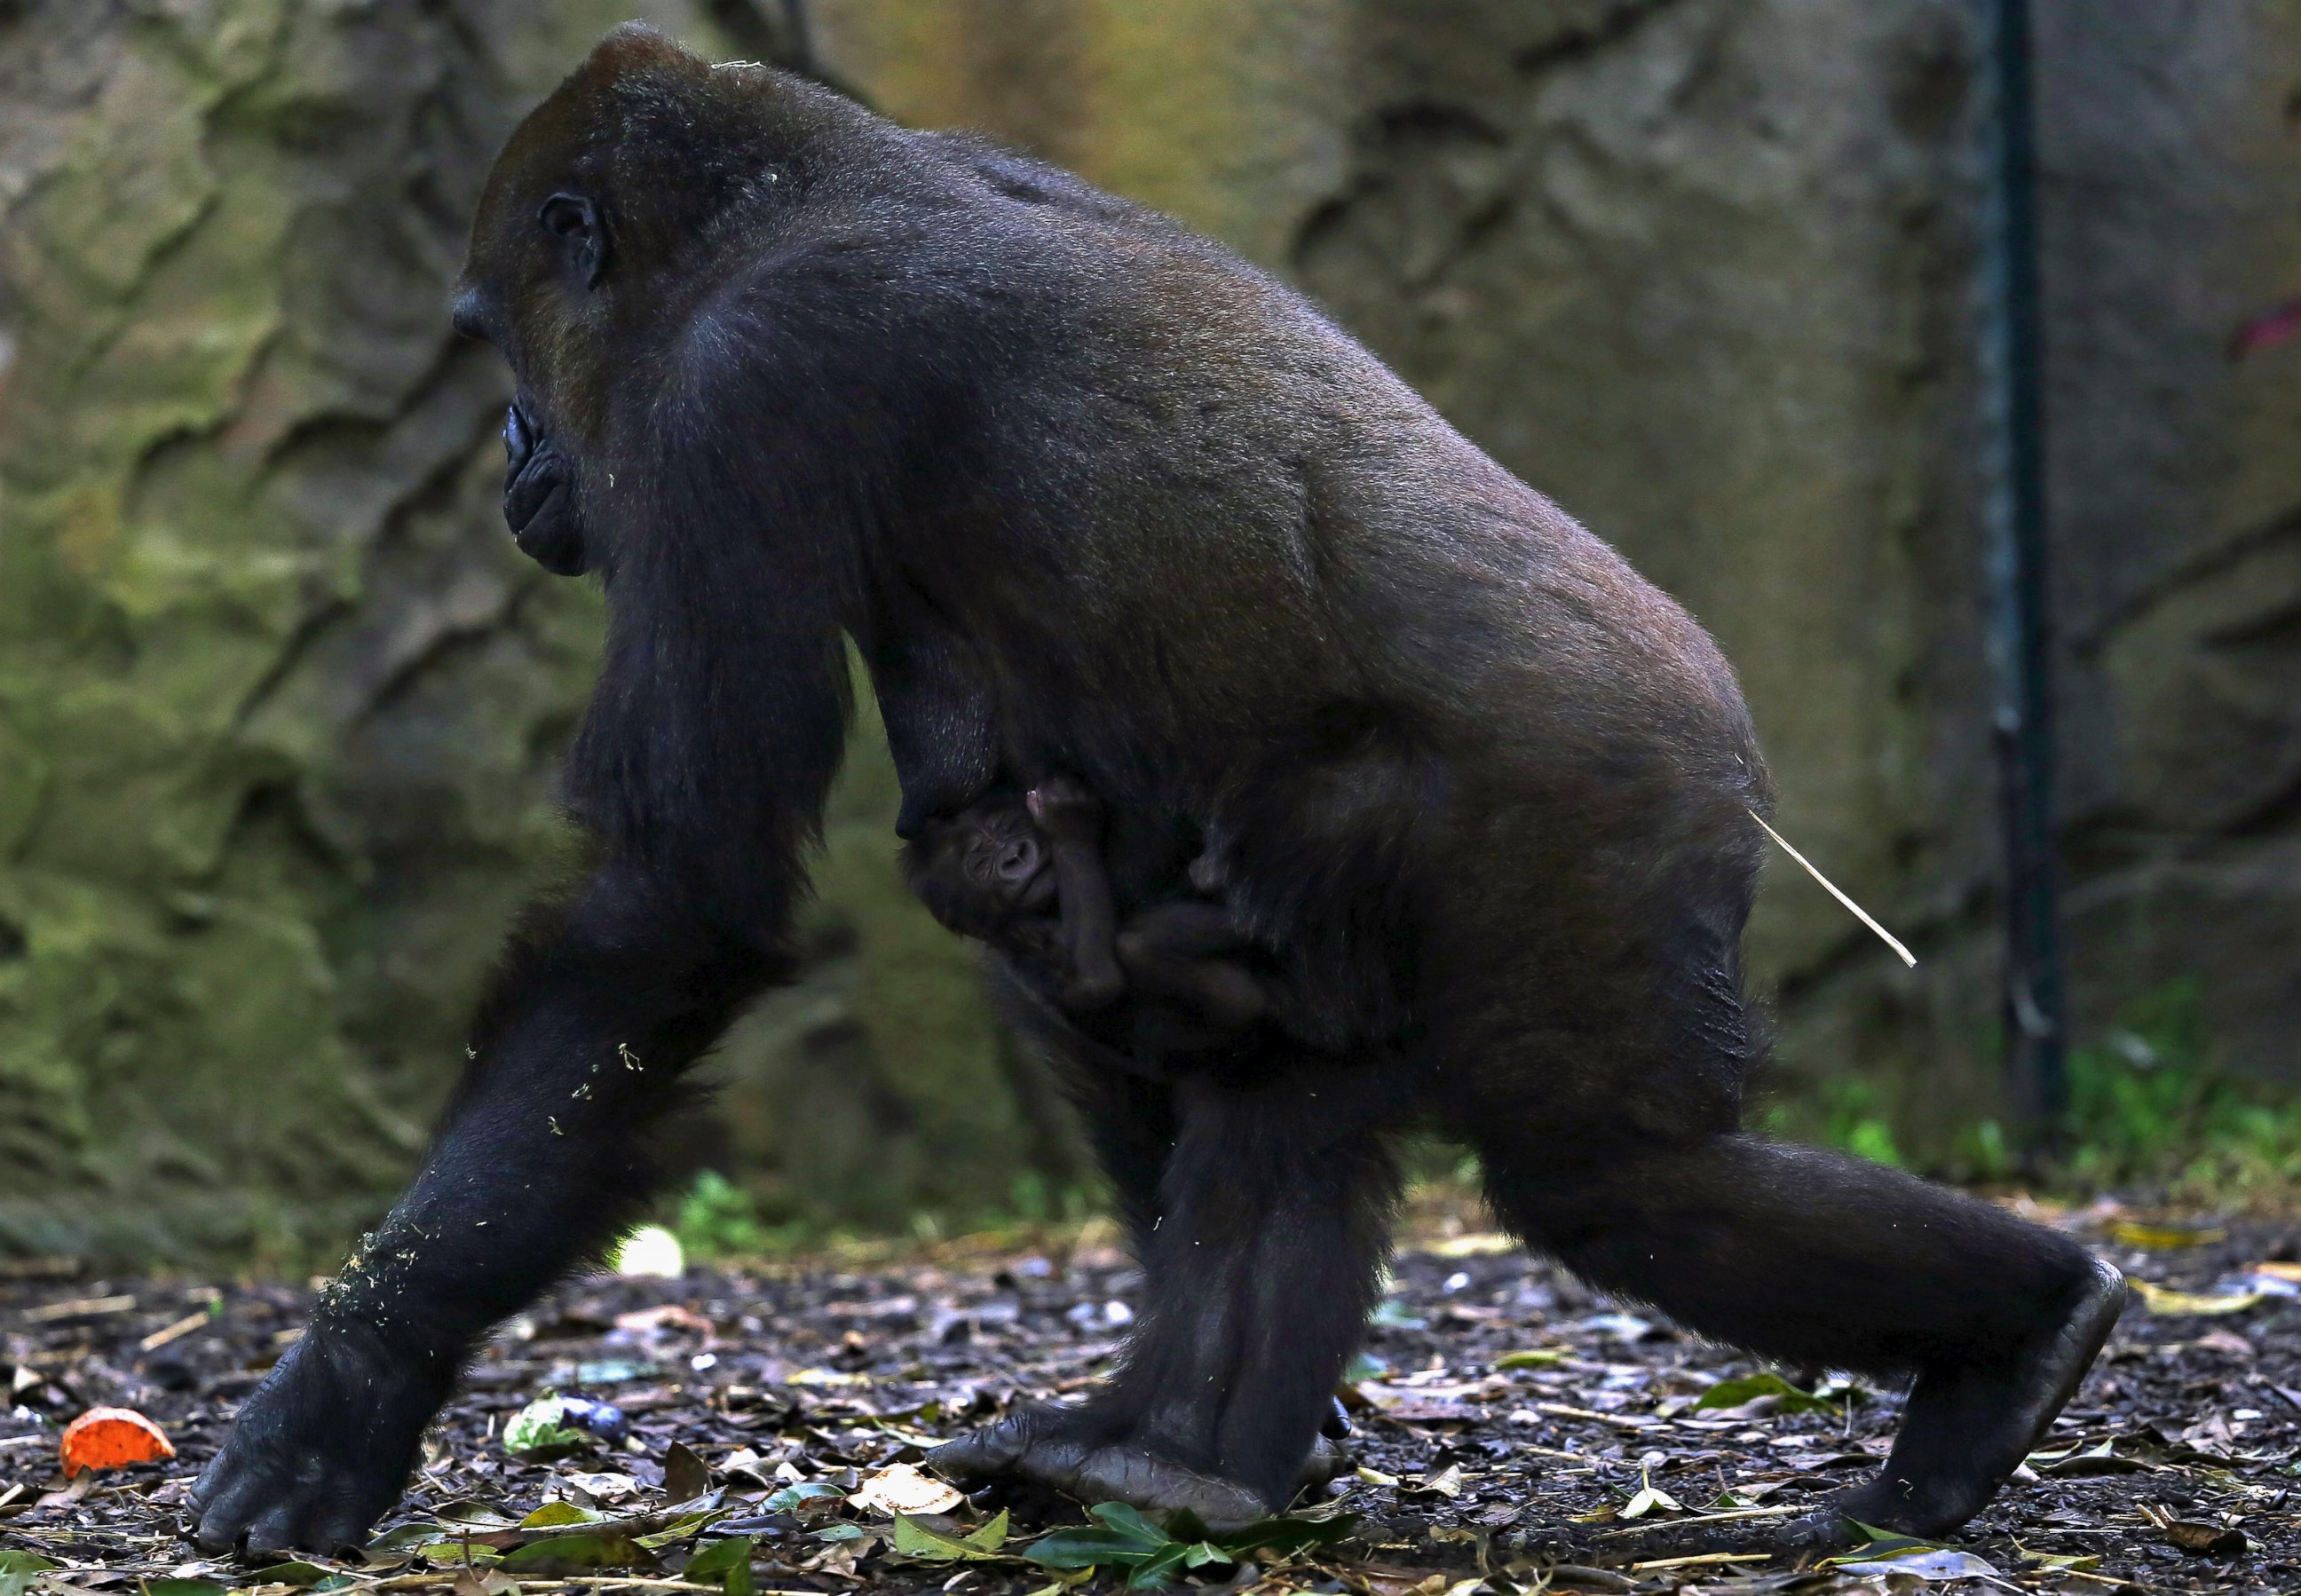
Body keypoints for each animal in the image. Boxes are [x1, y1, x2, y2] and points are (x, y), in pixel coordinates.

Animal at [897, 777, 1269, 1039]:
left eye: (1008, 829)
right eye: (980, 863)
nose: (1015, 856)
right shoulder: (1033, 938)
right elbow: (1096, 981)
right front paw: (1068, 823)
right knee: (1138, 946)